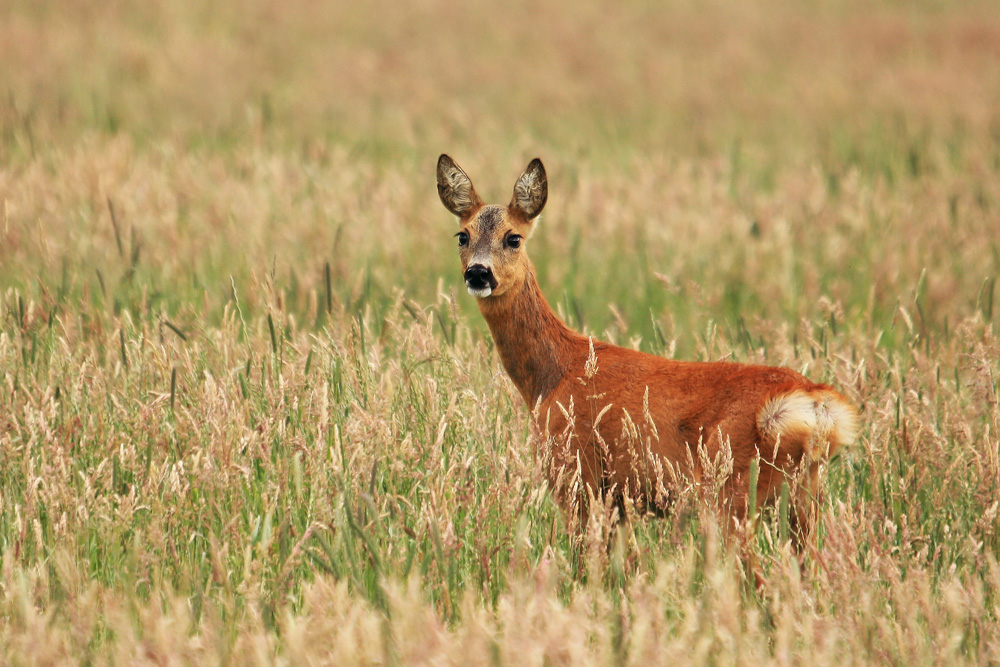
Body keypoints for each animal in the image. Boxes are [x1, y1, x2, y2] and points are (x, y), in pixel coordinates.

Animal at [434, 155, 856, 544]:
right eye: (462, 236)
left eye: (513, 238)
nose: (478, 273)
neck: (550, 376)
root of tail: (815, 402)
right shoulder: (620, 501)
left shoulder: (575, 473)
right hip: (804, 496)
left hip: (731, 486)